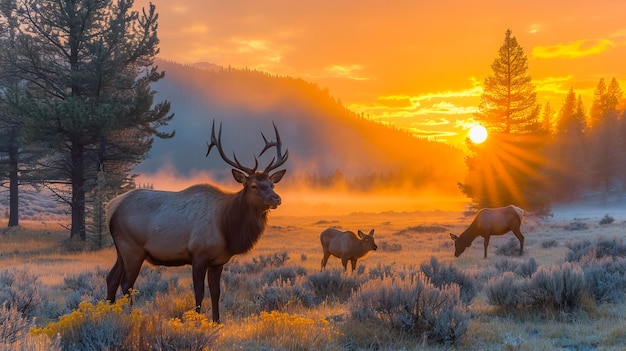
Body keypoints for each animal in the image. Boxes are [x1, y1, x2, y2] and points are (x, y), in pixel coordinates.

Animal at [103, 119, 286, 324]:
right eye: (254, 186)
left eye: (272, 184)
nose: (276, 199)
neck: (226, 227)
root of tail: (111, 207)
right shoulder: (198, 255)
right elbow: (199, 292)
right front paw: (197, 321)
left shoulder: (218, 261)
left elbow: (216, 292)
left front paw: (217, 321)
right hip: (132, 248)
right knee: (127, 283)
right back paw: (132, 315)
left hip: (121, 250)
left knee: (111, 279)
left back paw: (109, 314)